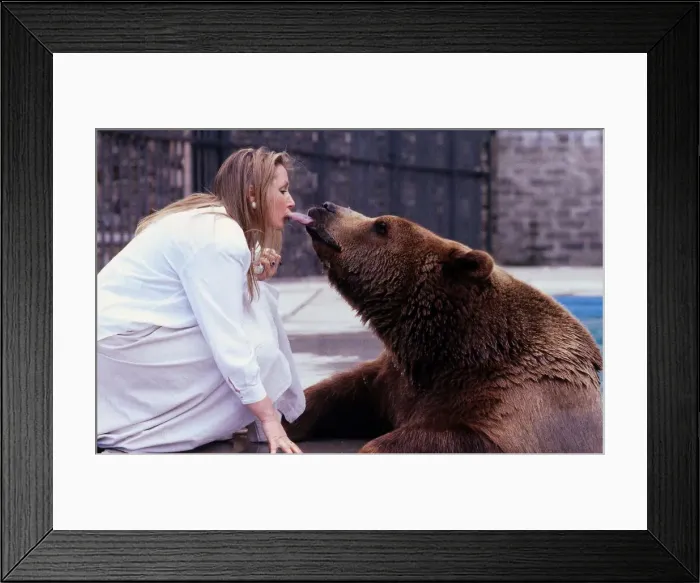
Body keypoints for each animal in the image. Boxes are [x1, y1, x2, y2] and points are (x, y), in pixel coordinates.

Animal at [285, 202, 603, 454]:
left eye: (381, 226)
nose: (326, 206)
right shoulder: (395, 380)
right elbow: (336, 395)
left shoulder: (521, 401)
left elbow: (466, 438)